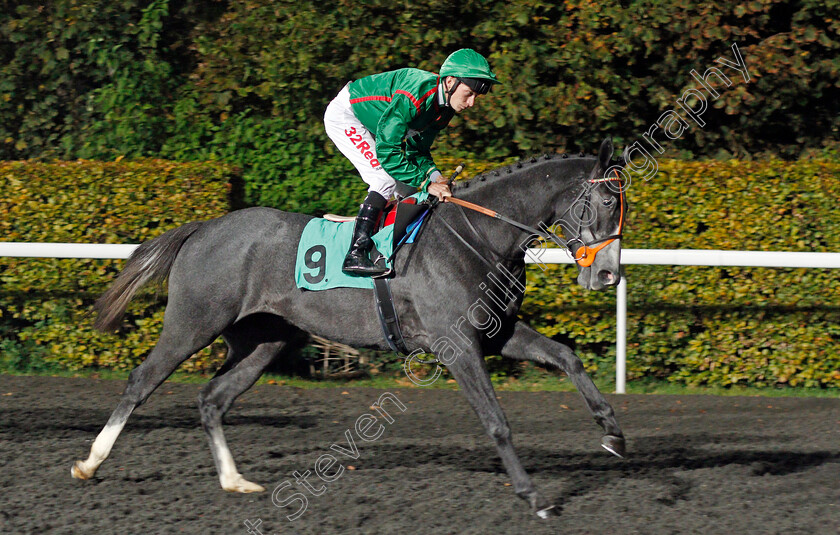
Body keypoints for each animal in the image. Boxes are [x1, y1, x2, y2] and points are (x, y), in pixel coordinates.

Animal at [70, 138, 624, 520]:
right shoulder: (459, 346)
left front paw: (613, 433)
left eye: (625, 206)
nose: (608, 275)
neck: (478, 237)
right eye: (604, 204)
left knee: (212, 398)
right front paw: (534, 497)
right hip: (193, 322)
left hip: (264, 340)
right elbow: (497, 421)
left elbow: (567, 357)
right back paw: (90, 464)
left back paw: (235, 481)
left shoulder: (497, 333)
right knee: (141, 381)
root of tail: (204, 227)